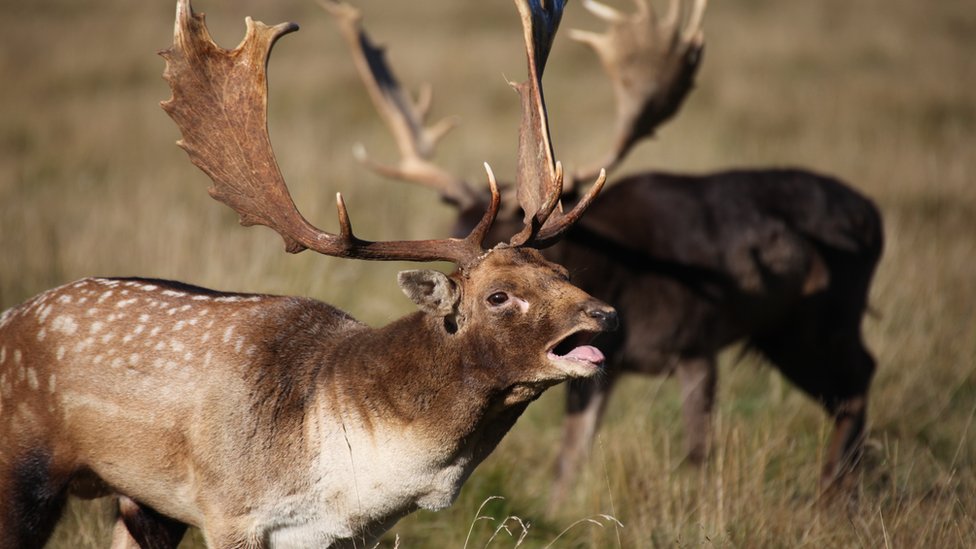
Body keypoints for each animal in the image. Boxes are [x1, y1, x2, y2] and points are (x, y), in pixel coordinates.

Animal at [0, 1, 616, 548]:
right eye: (498, 296)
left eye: (562, 268)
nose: (604, 313)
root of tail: (10, 316)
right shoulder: (229, 509)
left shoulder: (339, 538)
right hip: (23, 469)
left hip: (142, 503)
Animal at [328, 0, 884, 504]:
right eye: (454, 226)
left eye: (550, 264)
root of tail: (874, 215)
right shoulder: (598, 366)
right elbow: (570, 455)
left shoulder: (697, 339)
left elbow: (698, 451)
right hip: (782, 332)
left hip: (822, 317)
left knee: (858, 378)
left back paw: (836, 494)